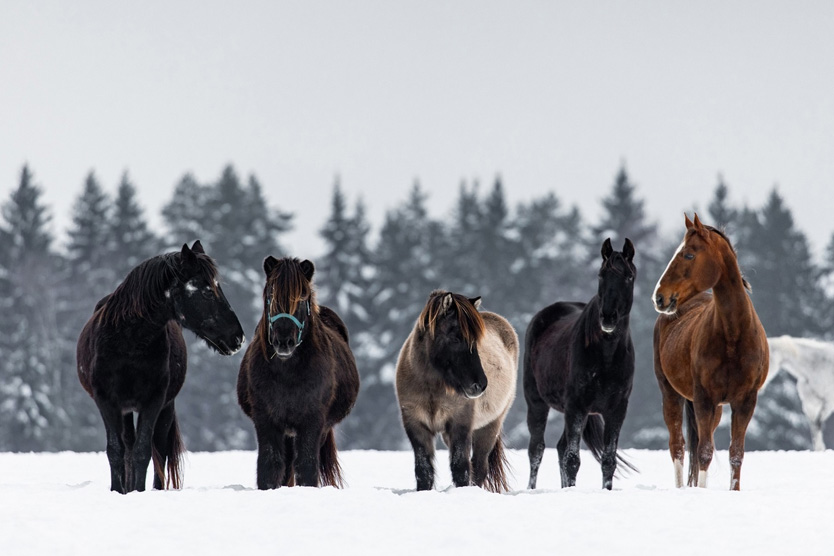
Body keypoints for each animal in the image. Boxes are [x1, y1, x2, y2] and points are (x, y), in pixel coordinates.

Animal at [75, 241, 245, 494]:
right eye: (206, 291)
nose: (237, 338)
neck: (127, 342)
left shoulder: (154, 401)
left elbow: (143, 451)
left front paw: (138, 491)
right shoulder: (107, 402)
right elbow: (116, 451)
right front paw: (118, 491)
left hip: (165, 408)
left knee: (159, 450)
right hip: (126, 410)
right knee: (128, 445)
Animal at [237, 256, 360, 486]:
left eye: (302, 299)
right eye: (271, 296)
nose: (284, 341)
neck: (287, 375)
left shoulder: (312, 421)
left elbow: (306, 465)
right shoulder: (266, 419)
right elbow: (270, 465)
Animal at [394, 292, 516, 490]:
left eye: (477, 341)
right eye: (456, 339)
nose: (480, 385)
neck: (432, 388)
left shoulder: (460, 424)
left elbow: (461, 468)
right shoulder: (416, 424)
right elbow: (423, 470)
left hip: (490, 426)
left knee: (479, 466)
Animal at [524, 237, 632, 488]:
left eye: (629, 277)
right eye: (601, 275)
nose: (608, 317)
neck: (606, 356)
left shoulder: (617, 410)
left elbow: (608, 461)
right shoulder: (577, 407)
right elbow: (572, 460)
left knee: (560, 447)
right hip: (537, 403)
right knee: (536, 449)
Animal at [648, 214, 768, 490]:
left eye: (689, 254)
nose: (659, 297)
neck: (733, 335)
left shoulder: (745, 401)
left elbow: (736, 453)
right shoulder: (704, 398)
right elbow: (703, 451)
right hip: (670, 394)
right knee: (677, 446)